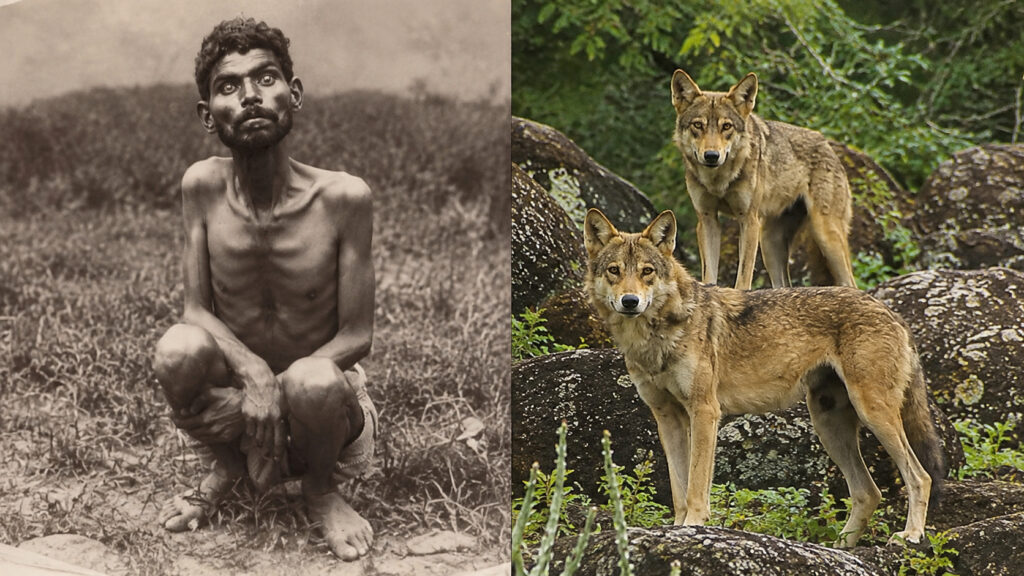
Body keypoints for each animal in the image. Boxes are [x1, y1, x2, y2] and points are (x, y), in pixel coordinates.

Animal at [583, 208, 946, 547]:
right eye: (615, 271)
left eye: (647, 272)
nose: (631, 301)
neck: (657, 335)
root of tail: (892, 312)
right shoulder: (667, 418)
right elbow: (678, 487)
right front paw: (676, 528)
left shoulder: (705, 411)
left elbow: (696, 485)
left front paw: (693, 525)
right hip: (828, 424)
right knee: (869, 492)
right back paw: (841, 546)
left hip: (872, 414)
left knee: (920, 477)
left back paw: (910, 535)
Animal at [671, 69, 857, 290]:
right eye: (698, 125)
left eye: (727, 126)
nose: (711, 156)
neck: (718, 181)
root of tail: (828, 145)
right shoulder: (707, 219)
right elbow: (709, 276)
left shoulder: (749, 219)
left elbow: (743, 278)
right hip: (770, 244)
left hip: (825, 234)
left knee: (850, 281)